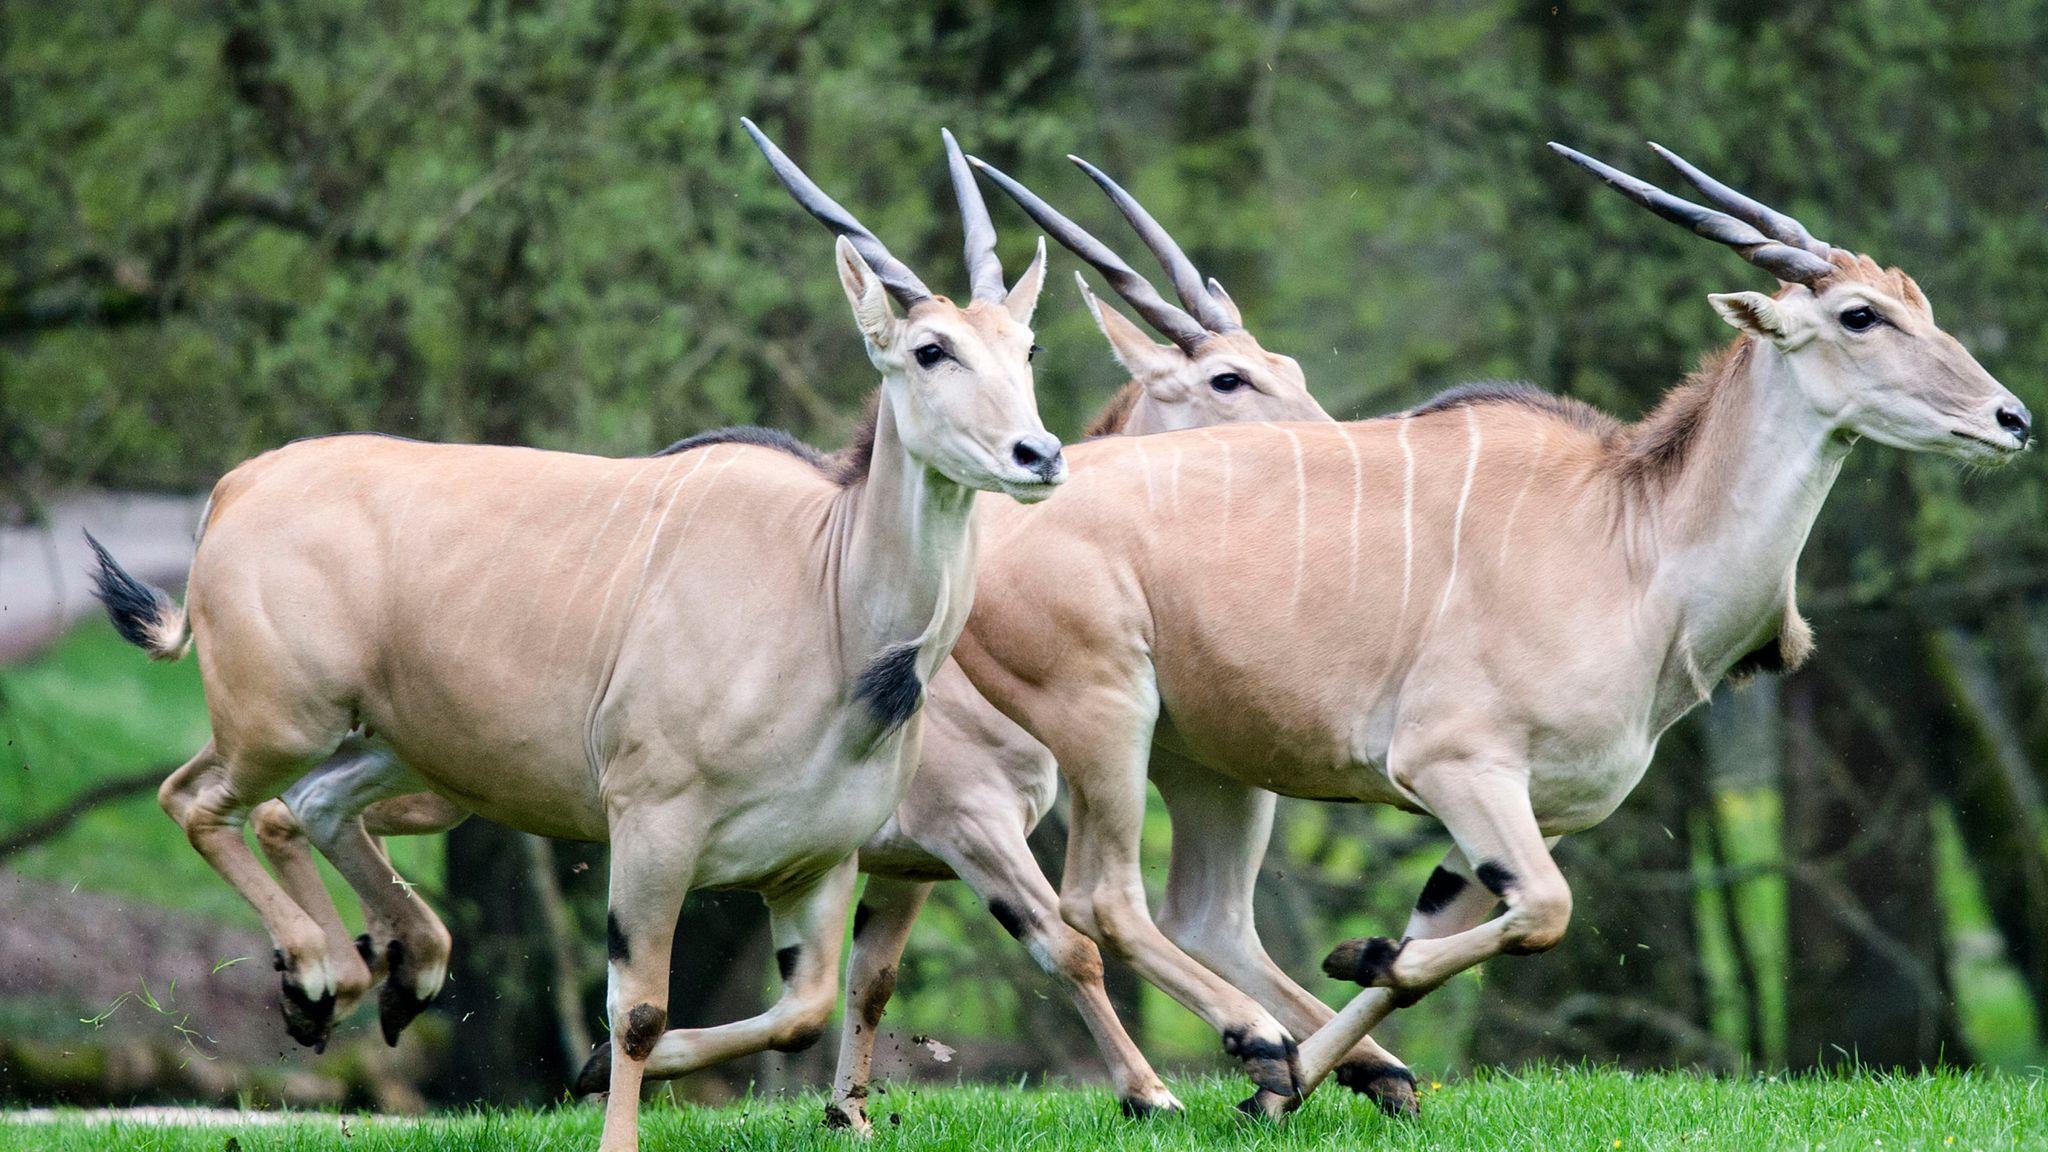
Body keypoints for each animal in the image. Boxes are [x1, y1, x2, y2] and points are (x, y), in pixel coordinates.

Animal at [87, 120, 1064, 1152]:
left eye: (1028, 345)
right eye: (930, 349)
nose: (1039, 455)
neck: (824, 589)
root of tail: (240, 486)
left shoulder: (815, 863)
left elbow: (799, 1013)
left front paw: (594, 1070)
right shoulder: (652, 829)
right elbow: (638, 1011)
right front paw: (610, 1107)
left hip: (396, 750)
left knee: (304, 807)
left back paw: (380, 974)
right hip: (281, 725)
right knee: (196, 800)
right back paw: (318, 969)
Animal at [242, 153, 1369, 1124]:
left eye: (1280, 362)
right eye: (1227, 381)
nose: (1334, 442)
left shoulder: (898, 863)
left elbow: (863, 983)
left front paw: (847, 1111)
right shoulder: (970, 829)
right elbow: (1068, 944)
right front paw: (1165, 1087)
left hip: (431, 773)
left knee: (302, 810)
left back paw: (366, 975)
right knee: (274, 807)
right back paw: (335, 976)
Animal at [950, 142, 2031, 1116]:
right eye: (1860, 315)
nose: (2010, 419)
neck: (1634, 545)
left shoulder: (1523, 810)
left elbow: (1440, 941)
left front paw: (1302, 1065)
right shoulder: (1456, 768)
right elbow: (1543, 915)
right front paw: (1330, 1002)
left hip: (1209, 765)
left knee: (1201, 913)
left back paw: (1300, 1059)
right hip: (1103, 723)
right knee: (1099, 901)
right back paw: (1236, 1045)